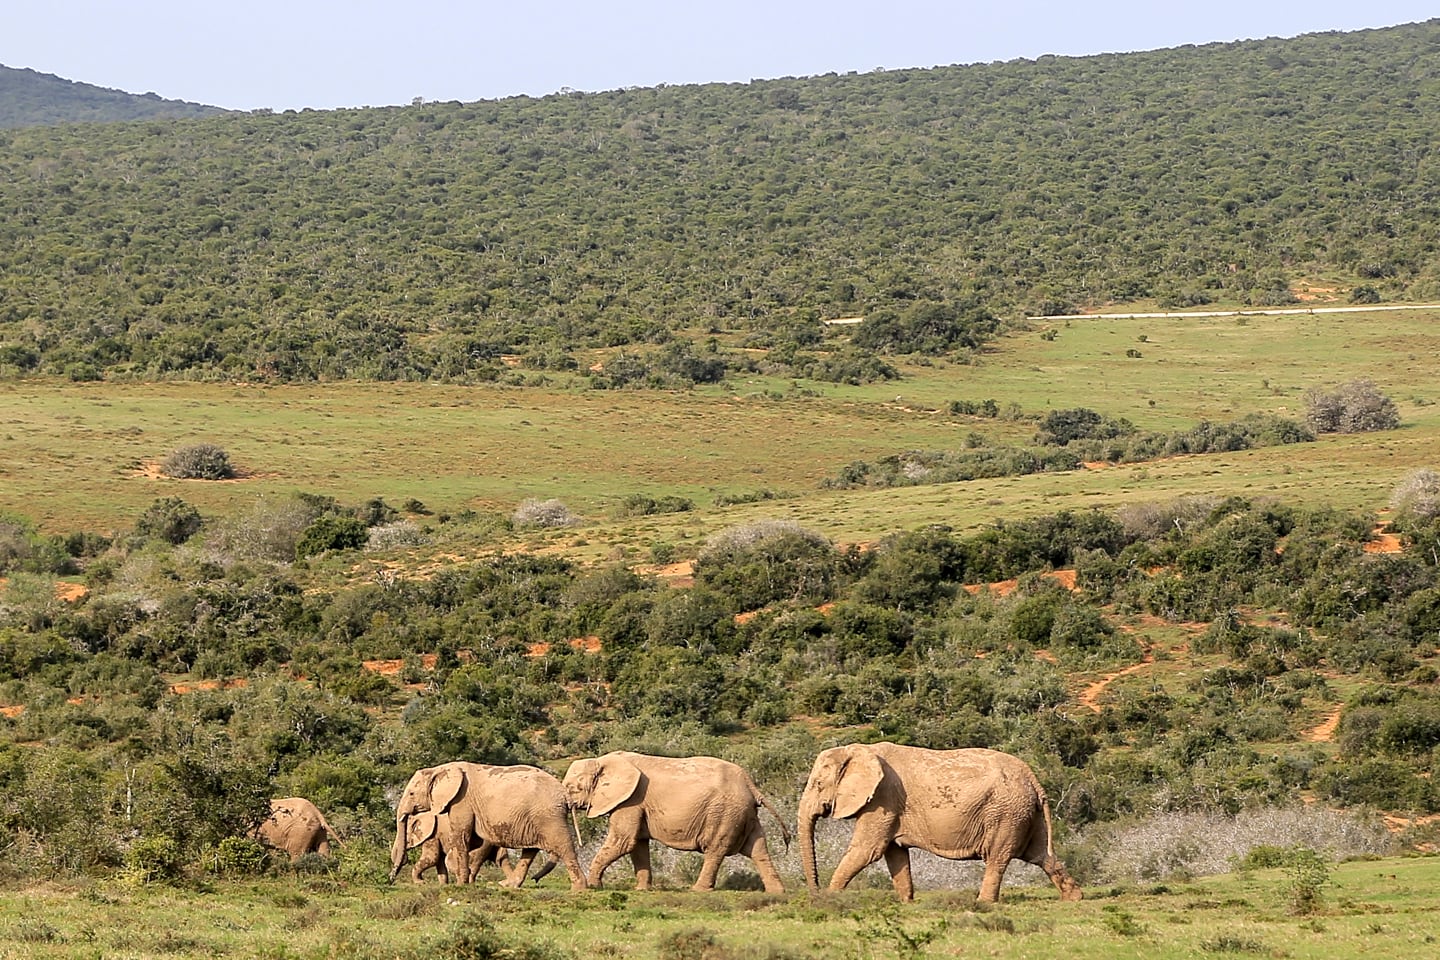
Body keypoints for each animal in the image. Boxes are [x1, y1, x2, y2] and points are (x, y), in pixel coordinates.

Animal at [391, 759, 587, 892]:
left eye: (411, 793)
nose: (390, 878)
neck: (439, 769)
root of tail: (565, 793)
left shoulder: (461, 800)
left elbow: (461, 837)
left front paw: (460, 885)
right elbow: (472, 841)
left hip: (548, 816)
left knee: (564, 846)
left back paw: (579, 889)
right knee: (529, 851)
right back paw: (508, 885)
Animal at [561, 748, 789, 892]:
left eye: (572, 788)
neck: (602, 760)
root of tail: (750, 784)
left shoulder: (631, 800)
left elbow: (624, 841)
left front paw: (594, 887)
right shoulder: (637, 804)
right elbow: (637, 845)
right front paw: (642, 890)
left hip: (725, 813)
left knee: (715, 850)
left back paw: (698, 890)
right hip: (743, 814)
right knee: (759, 849)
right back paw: (777, 892)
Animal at [800, 742, 1082, 909]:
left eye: (818, 784)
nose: (813, 895)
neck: (858, 749)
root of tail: (1033, 778)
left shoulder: (882, 799)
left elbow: (867, 849)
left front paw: (829, 899)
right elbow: (895, 854)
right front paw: (907, 904)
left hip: (1006, 813)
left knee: (997, 858)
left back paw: (982, 904)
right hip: (1025, 812)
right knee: (1042, 855)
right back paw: (1073, 899)